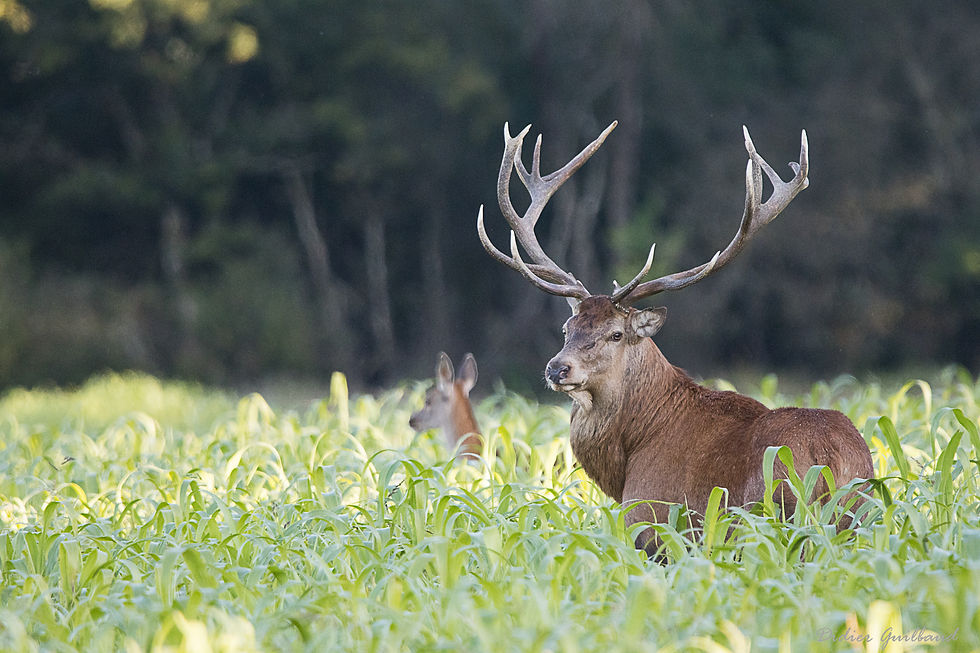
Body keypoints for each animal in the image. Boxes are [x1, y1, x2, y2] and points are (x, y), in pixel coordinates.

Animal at [476, 120, 874, 555]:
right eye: (568, 328)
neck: (632, 450)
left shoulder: (650, 525)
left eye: (615, 334)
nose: (557, 368)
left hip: (776, 520)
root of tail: (832, 461)